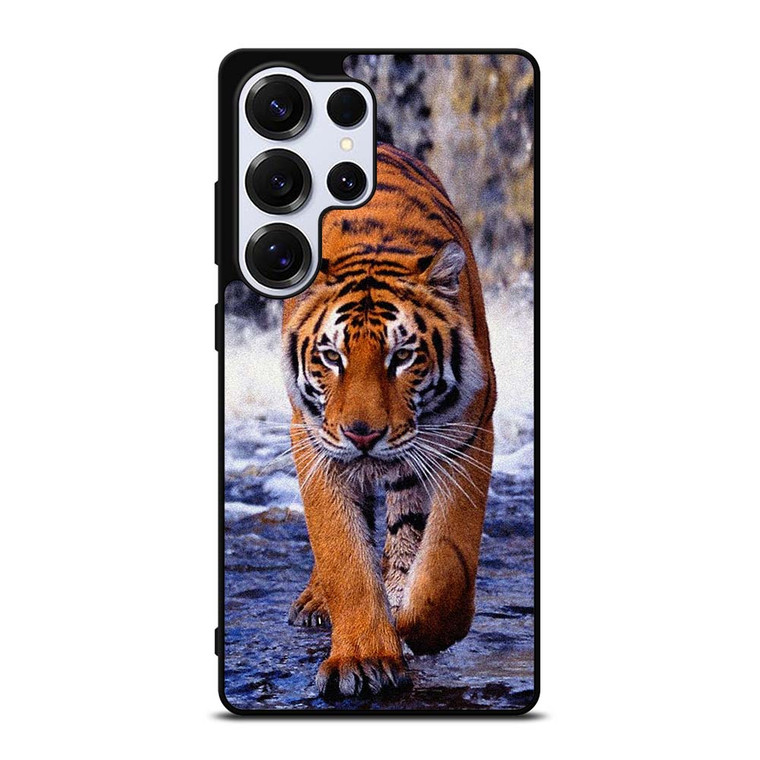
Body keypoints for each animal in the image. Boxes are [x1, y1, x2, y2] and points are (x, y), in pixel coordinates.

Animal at [281, 142, 496, 697]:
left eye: (402, 357)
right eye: (331, 356)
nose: (363, 434)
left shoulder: (467, 435)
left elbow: (446, 562)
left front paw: (417, 627)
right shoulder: (315, 443)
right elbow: (342, 553)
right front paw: (364, 659)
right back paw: (317, 601)